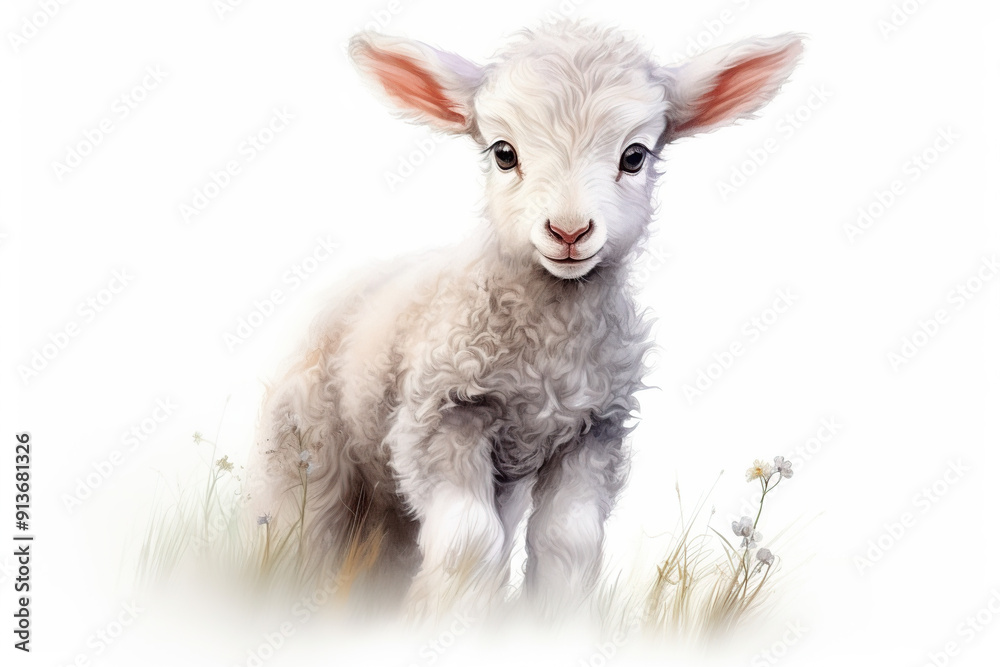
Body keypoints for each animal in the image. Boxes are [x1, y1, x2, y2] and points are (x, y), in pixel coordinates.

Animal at [250, 21, 802, 619]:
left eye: (634, 156)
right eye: (503, 152)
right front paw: (444, 622)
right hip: (308, 447)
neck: (547, 352)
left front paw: (551, 619)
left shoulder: (592, 431)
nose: (568, 231)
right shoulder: (439, 415)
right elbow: (470, 542)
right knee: (303, 528)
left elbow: (568, 542)